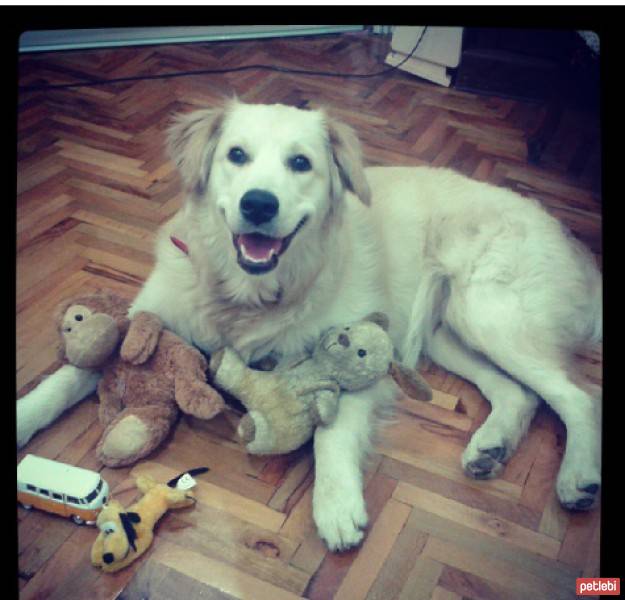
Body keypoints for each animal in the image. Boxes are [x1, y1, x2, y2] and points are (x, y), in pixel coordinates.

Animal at [18, 101, 600, 552]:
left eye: (301, 163)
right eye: (236, 155)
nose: (258, 203)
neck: (247, 294)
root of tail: (574, 241)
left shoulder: (362, 350)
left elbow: (332, 433)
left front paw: (337, 504)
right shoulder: (144, 324)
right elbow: (66, 378)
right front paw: (25, 416)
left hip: (488, 314)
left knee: (577, 397)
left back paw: (578, 476)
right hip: (446, 334)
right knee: (519, 394)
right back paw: (491, 447)